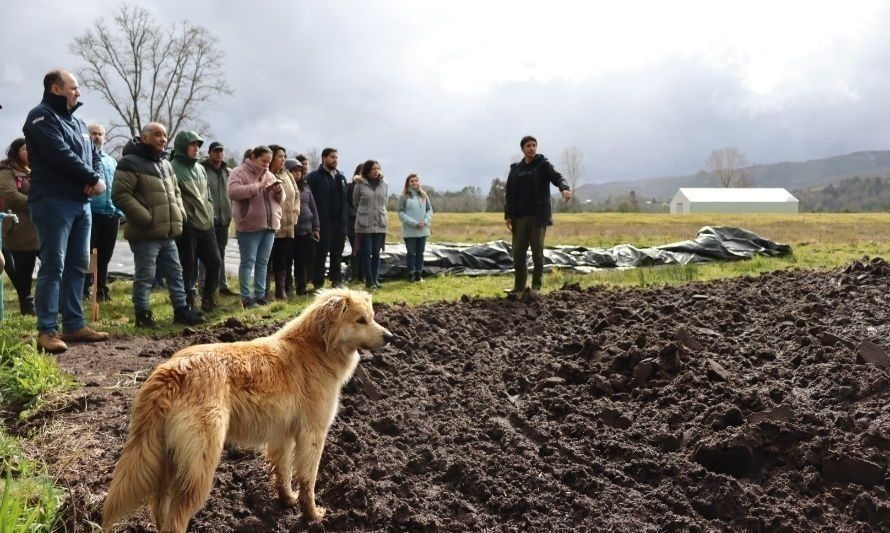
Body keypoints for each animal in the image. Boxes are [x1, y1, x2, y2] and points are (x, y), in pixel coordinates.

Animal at [101, 288, 392, 528]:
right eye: (360, 320)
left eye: (372, 316)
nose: (390, 337)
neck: (316, 348)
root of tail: (173, 371)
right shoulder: (312, 434)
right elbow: (308, 480)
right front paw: (312, 515)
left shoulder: (283, 436)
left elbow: (284, 473)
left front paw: (287, 500)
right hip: (199, 467)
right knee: (176, 519)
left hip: (168, 461)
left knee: (159, 509)